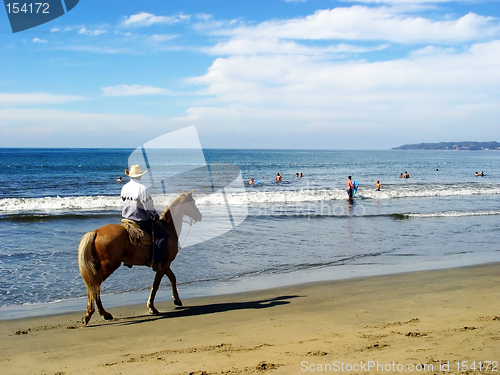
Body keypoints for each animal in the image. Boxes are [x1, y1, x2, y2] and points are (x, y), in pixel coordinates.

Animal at [77, 191, 202, 326]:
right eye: (193, 202)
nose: (199, 216)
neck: (168, 228)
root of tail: (95, 232)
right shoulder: (163, 264)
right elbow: (156, 285)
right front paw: (151, 307)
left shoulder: (166, 264)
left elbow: (172, 278)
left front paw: (177, 300)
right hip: (108, 266)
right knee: (95, 285)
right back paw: (97, 313)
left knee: (93, 285)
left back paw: (97, 314)